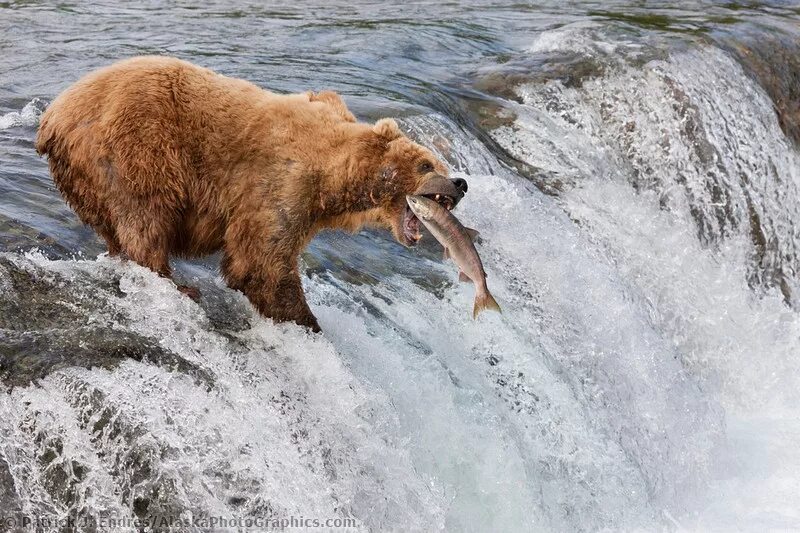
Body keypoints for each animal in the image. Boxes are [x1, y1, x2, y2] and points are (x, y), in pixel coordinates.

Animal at [36, 59, 462, 332]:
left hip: (84, 176)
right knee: (144, 214)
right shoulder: (280, 183)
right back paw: (175, 282)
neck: (334, 177)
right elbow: (262, 260)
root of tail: (52, 117)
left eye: (438, 161)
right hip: (134, 147)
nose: (460, 183)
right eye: (427, 163)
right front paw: (306, 319)